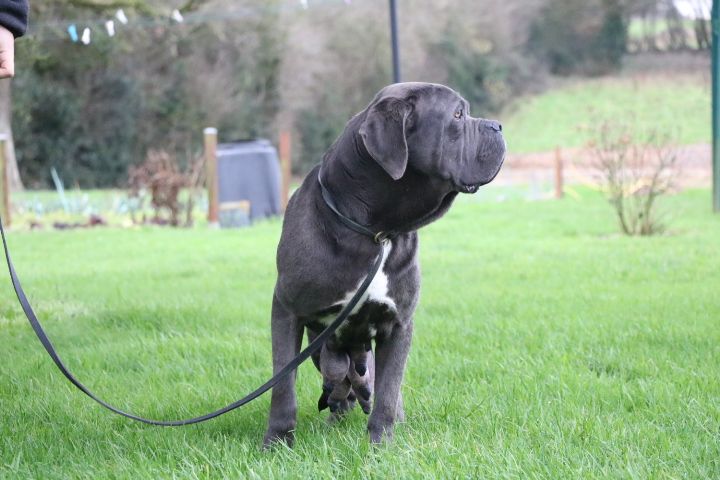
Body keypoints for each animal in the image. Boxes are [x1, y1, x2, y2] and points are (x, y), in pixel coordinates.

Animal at [262, 81, 504, 446]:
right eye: (458, 115)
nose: (498, 126)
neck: (377, 232)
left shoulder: (399, 323)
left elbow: (390, 388)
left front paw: (381, 444)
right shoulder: (287, 309)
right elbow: (282, 383)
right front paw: (276, 441)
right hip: (319, 346)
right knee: (337, 378)